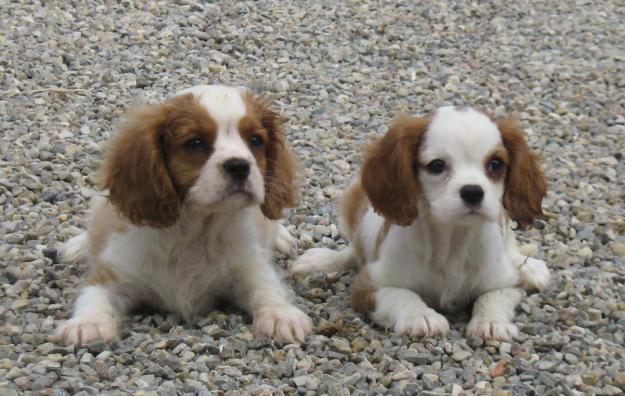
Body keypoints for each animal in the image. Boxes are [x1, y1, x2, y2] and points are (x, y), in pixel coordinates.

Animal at [56, 85, 312, 344]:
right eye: (195, 143)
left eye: (256, 140)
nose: (239, 166)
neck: (198, 228)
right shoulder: (113, 273)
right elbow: (94, 295)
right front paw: (88, 323)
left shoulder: (251, 268)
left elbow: (267, 288)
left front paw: (281, 315)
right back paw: (78, 246)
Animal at [290, 106, 548, 340]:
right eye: (437, 165)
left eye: (495, 164)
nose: (473, 192)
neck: (452, 241)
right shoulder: (369, 285)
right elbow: (400, 294)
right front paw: (421, 316)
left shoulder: (508, 281)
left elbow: (493, 295)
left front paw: (491, 323)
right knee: (354, 250)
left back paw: (531, 268)